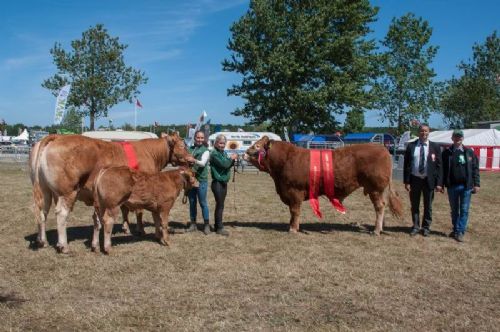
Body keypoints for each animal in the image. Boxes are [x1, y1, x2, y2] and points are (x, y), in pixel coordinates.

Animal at [29, 131, 191, 253]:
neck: (149, 154)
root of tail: (56, 137)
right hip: (67, 192)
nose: (192, 160)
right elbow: (139, 211)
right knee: (61, 214)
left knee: (42, 213)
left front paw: (126, 228)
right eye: (183, 145)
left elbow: (126, 210)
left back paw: (42, 241)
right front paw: (141, 230)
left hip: (45, 190)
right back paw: (64, 246)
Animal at [244, 136, 404, 235]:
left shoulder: (294, 191)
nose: (244, 153)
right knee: (382, 205)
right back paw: (380, 228)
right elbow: (292, 212)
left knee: (380, 206)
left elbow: (295, 211)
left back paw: (376, 230)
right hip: (378, 189)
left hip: (375, 188)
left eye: (257, 146)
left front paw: (293, 229)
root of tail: (382, 148)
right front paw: (291, 225)